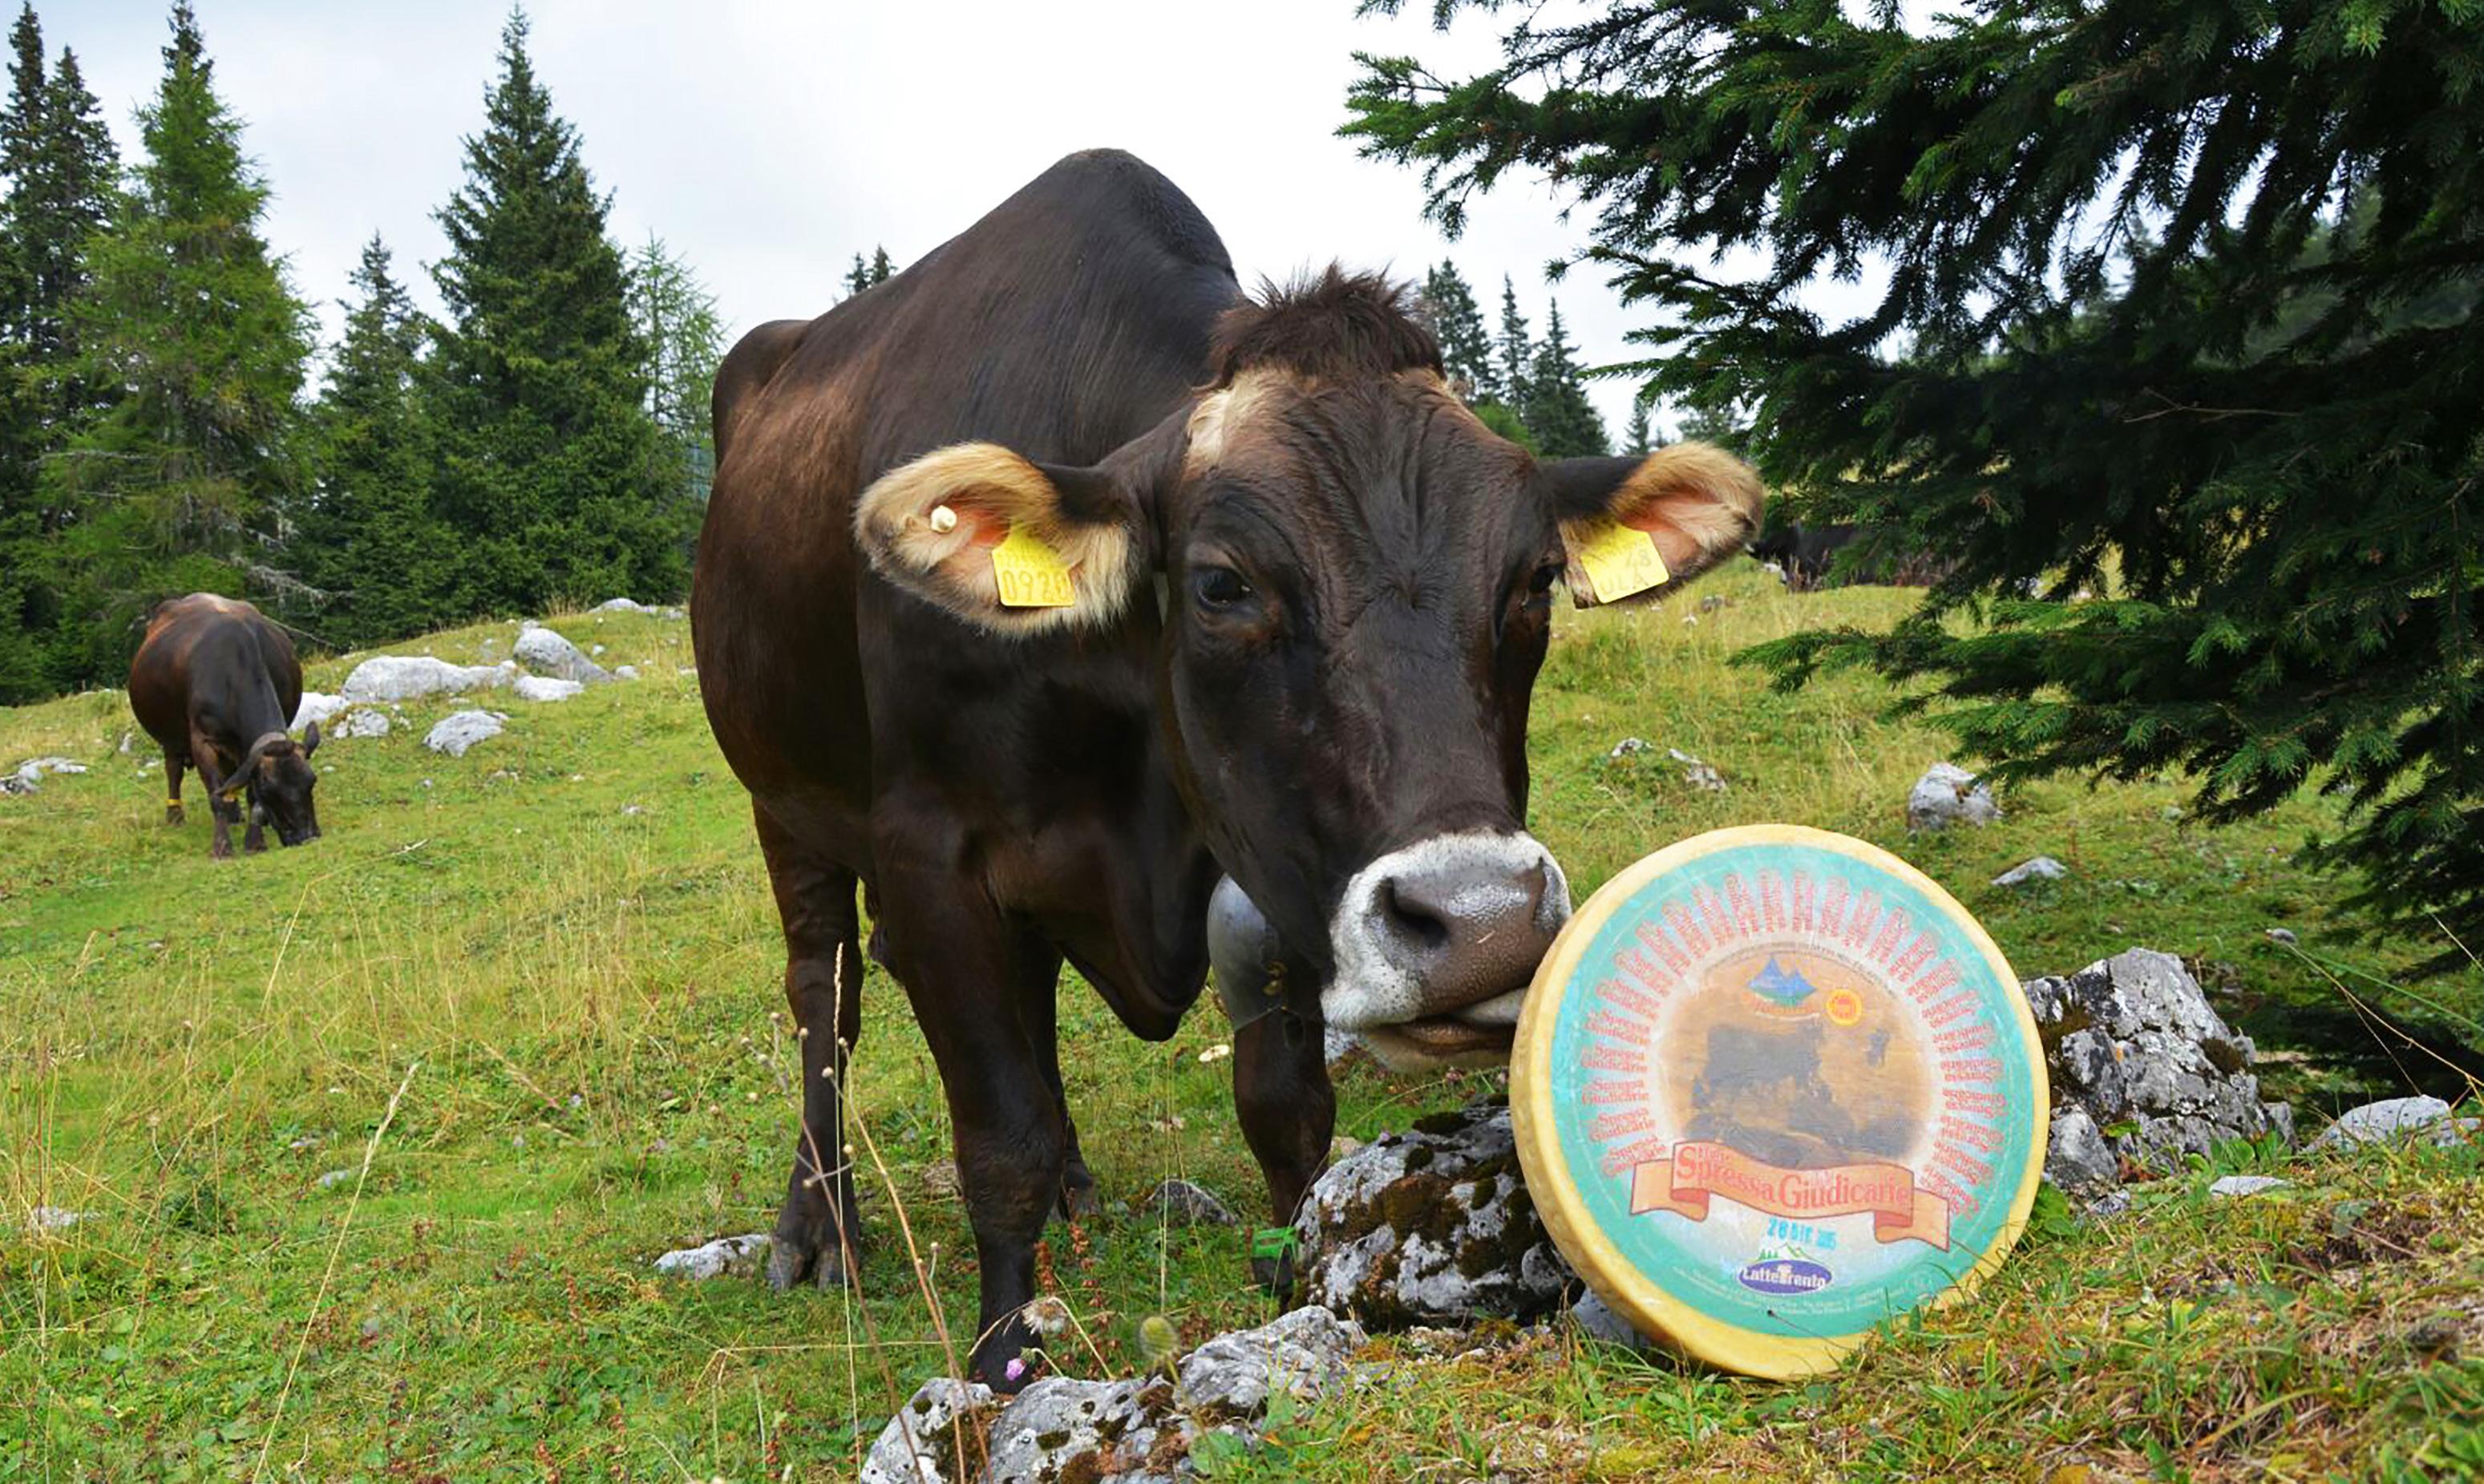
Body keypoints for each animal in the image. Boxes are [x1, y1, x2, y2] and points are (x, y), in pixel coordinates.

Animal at [128, 594, 322, 858]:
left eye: (311, 781)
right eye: (269, 790)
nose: (307, 836)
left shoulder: (247, 749)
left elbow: (248, 793)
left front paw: (254, 841)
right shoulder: (203, 740)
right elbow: (215, 795)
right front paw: (221, 846)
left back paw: (233, 813)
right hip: (170, 734)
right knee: (174, 769)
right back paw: (175, 814)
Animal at [691, 150, 1762, 1389]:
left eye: (1535, 579)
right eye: (1219, 583)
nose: (1482, 925)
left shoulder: (1266, 855)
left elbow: (1284, 1103)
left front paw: (1299, 1281)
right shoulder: (929, 853)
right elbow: (994, 1135)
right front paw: (1001, 1364)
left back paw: (1076, 1186)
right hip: (783, 802)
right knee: (824, 995)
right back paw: (818, 1227)